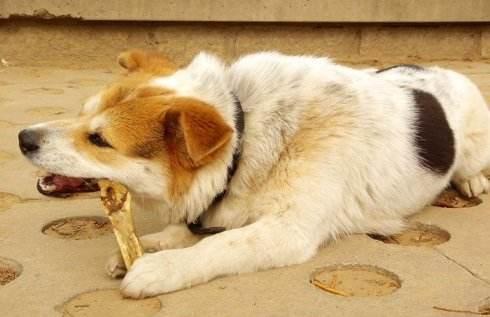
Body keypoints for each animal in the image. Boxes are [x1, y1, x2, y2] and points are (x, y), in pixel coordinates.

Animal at [17, 49, 488, 296]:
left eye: (100, 140)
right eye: (82, 114)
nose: (23, 137)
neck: (246, 138)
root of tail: (439, 69)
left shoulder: (288, 230)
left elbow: (219, 246)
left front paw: (160, 268)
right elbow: (180, 233)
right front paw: (148, 247)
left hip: (472, 141)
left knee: (470, 165)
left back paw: (470, 180)